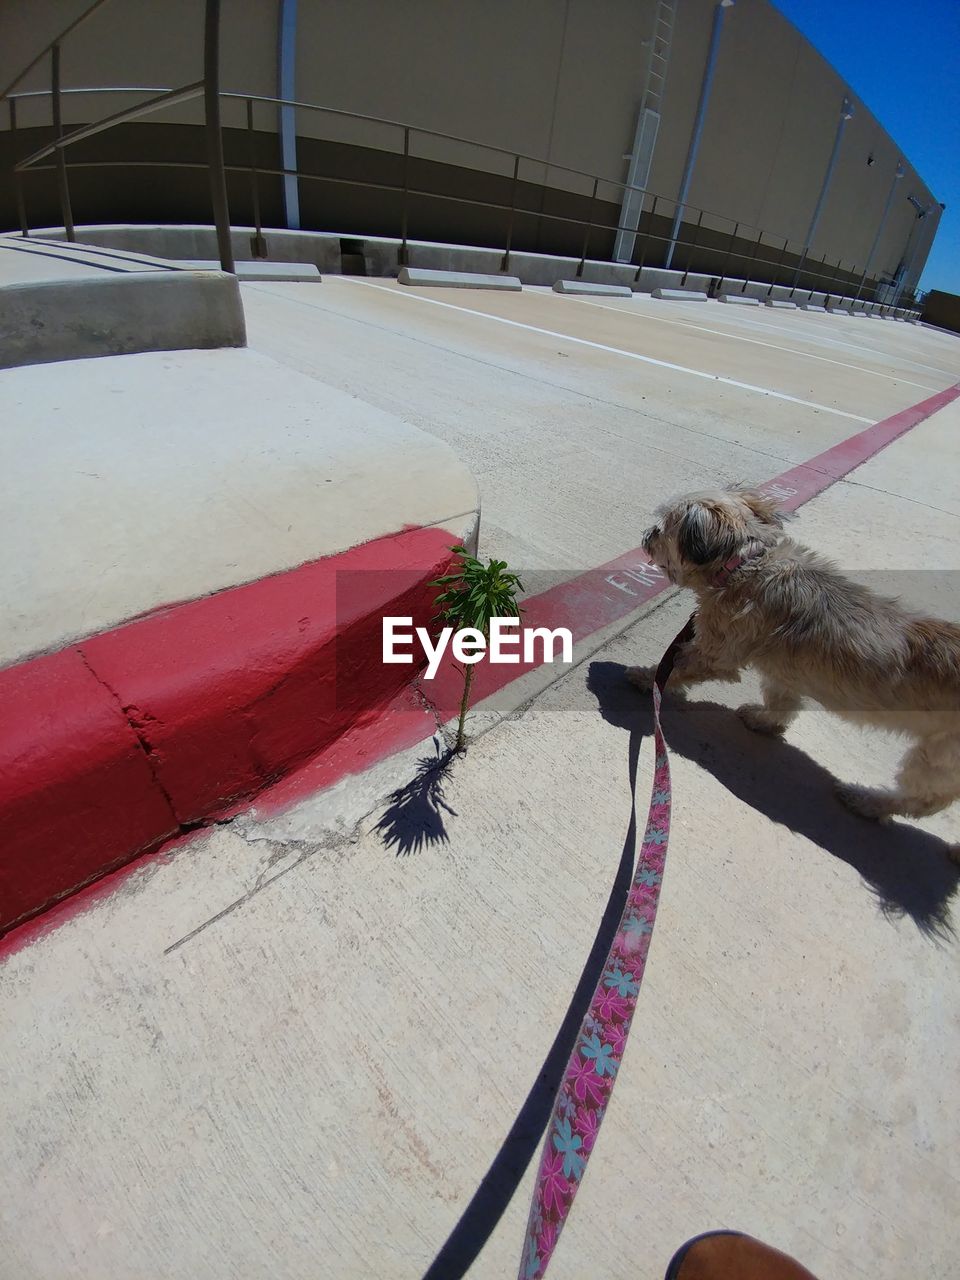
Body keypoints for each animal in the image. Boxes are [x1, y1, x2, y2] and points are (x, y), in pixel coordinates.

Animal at [632, 483, 960, 834]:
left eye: (664, 526)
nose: (647, 534)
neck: (746, 565)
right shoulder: (783, 668)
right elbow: (782, 702)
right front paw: (765, 721)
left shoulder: (715, 652)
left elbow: (676, 667)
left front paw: (645, 677)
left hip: (936, 758)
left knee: (922, 800)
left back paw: (867, 801)